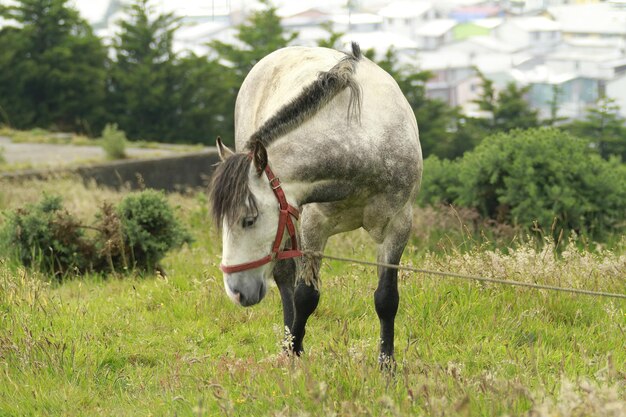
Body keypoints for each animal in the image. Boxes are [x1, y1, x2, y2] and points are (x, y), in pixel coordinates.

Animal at [208, 40, 420, 362]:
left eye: (249, 219)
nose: (236, 292)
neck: (363, 145)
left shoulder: (398, 224)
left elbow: (386, 298)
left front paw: (387, 363)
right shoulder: (313, 224)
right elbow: (305, 296)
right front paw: (293, 351)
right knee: (284, 277)